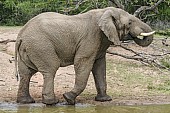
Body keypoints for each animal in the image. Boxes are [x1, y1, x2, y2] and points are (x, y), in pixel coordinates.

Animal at [14, 6, 155, 105]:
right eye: (130, 23)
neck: (104, 12)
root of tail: (21, 35)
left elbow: (100, 67)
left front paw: (105, 100)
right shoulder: (91, 37)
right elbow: (83, 62)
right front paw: (69, 99)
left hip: (30, 48)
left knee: (26, 73)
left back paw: (26, 102)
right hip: (41, 46)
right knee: (50, 69)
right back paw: (52, 103)